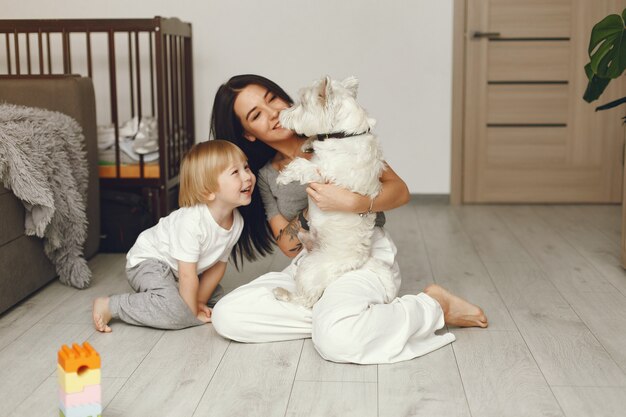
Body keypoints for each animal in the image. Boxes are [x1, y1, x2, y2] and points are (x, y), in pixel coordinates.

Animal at [274, 76, 394, 308]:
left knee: (307, 301)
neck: (345, 135)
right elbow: (313, 142)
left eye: (302, 103)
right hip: (304, 243)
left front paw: (283, 177)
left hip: (310, 268)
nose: (280, 114)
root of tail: (359, 262)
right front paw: (308, 143)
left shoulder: (324, 176)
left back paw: (282, 293)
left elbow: (301, 164)